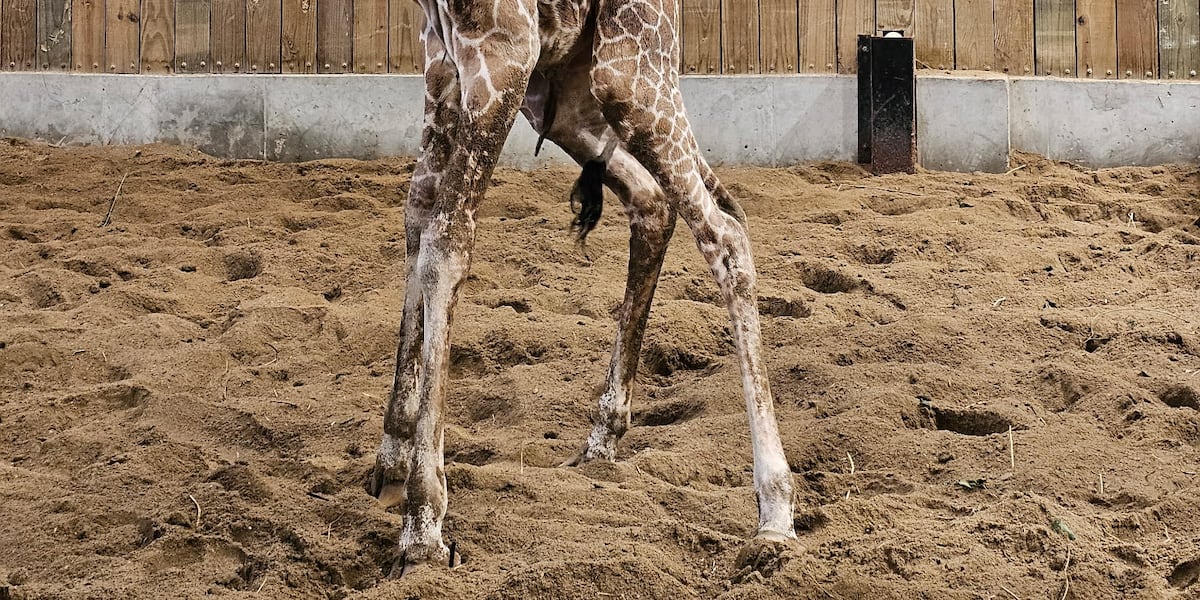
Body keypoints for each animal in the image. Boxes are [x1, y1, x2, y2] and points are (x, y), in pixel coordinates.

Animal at [368, 0, 797, 577]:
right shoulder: (442, 65)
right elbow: (417, 223)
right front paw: (393, 462)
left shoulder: (501, 50)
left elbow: (446, 242)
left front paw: (423, 526)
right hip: (567, 96)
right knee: (655, 201)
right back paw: (602, 439)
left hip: (626, 76)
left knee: (724, 232)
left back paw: (774, 513)